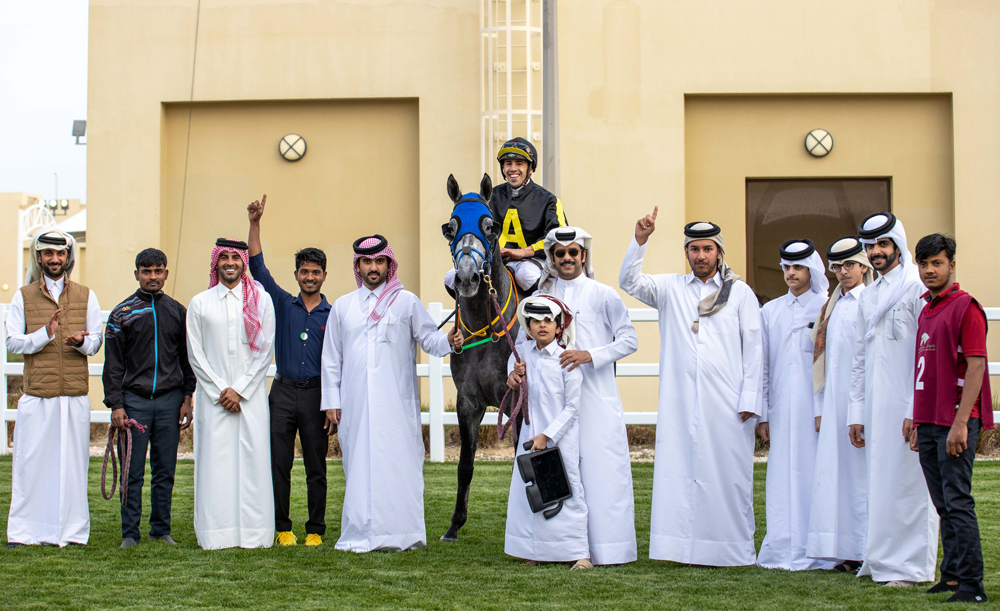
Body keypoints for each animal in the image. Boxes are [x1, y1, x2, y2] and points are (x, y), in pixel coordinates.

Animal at [440, 172, 532, 540]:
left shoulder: (518, 400)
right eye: (449, 228)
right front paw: (454, 524)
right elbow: (465, 465)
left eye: (490, 226)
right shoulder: (468, 402)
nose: (467, 276)